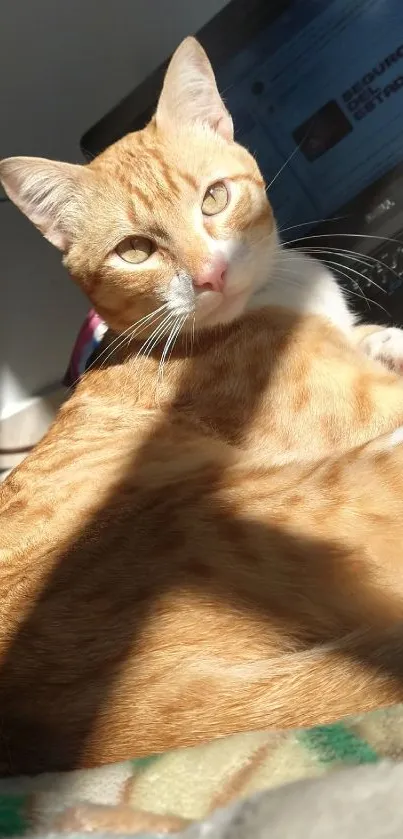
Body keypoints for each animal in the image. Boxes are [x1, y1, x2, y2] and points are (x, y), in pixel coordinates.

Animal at [1, 37, 403, 776]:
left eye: (214, 198)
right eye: (136, 249)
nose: (211, 275)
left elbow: (372, 335)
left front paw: (385, 336)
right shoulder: (359, 406)